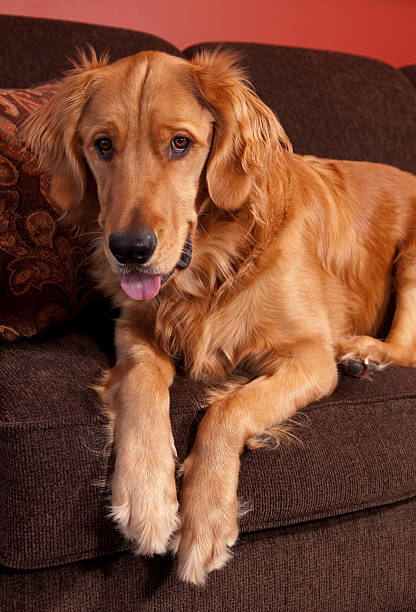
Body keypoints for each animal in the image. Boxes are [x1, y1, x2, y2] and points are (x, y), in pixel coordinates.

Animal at [22, 49, 416, 584]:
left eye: (180, 143)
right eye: (103, 145)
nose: (129, 250)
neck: (209, 268)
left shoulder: (311, 358)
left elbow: (227, 409)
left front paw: (205, 520)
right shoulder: (134, 325)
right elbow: (143, 381)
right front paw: (148, 496)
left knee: (407, 349)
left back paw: (364, 353)